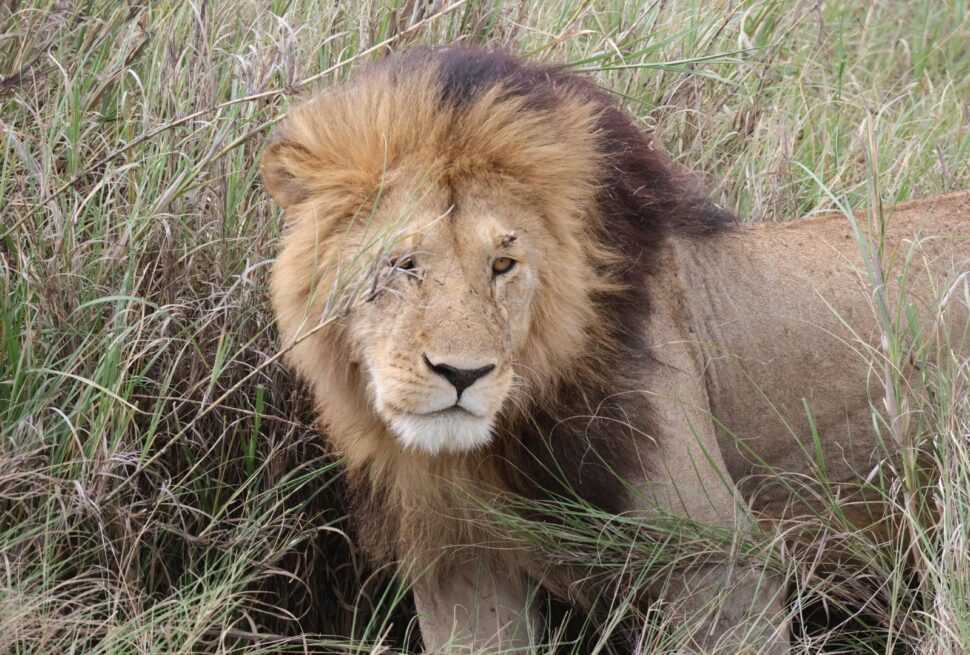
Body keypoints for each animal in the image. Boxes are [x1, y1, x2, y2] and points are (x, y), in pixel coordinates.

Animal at [261, 47, 970, 653]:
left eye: (503, 263)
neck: (494, 446)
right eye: (404, 263)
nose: (463, 375)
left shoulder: (719, 557)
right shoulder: (461, 564)